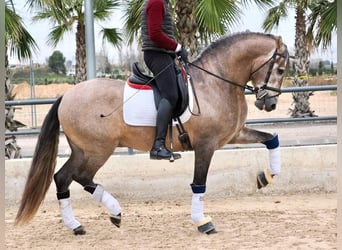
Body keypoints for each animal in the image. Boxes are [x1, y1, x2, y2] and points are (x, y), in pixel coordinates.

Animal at [16, 31, 288, 234]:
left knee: (63, 178)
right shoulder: (206, 146)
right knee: (81, 177)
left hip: (82, 150)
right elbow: (199, 183)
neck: (216, 82)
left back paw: (78, 225)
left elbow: (272, 139)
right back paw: (113, 212)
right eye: (282, 70)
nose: (270, 104)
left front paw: (265, 177)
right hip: (98, 150)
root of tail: (67, 95)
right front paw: (203, 222)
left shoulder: (233, 135)